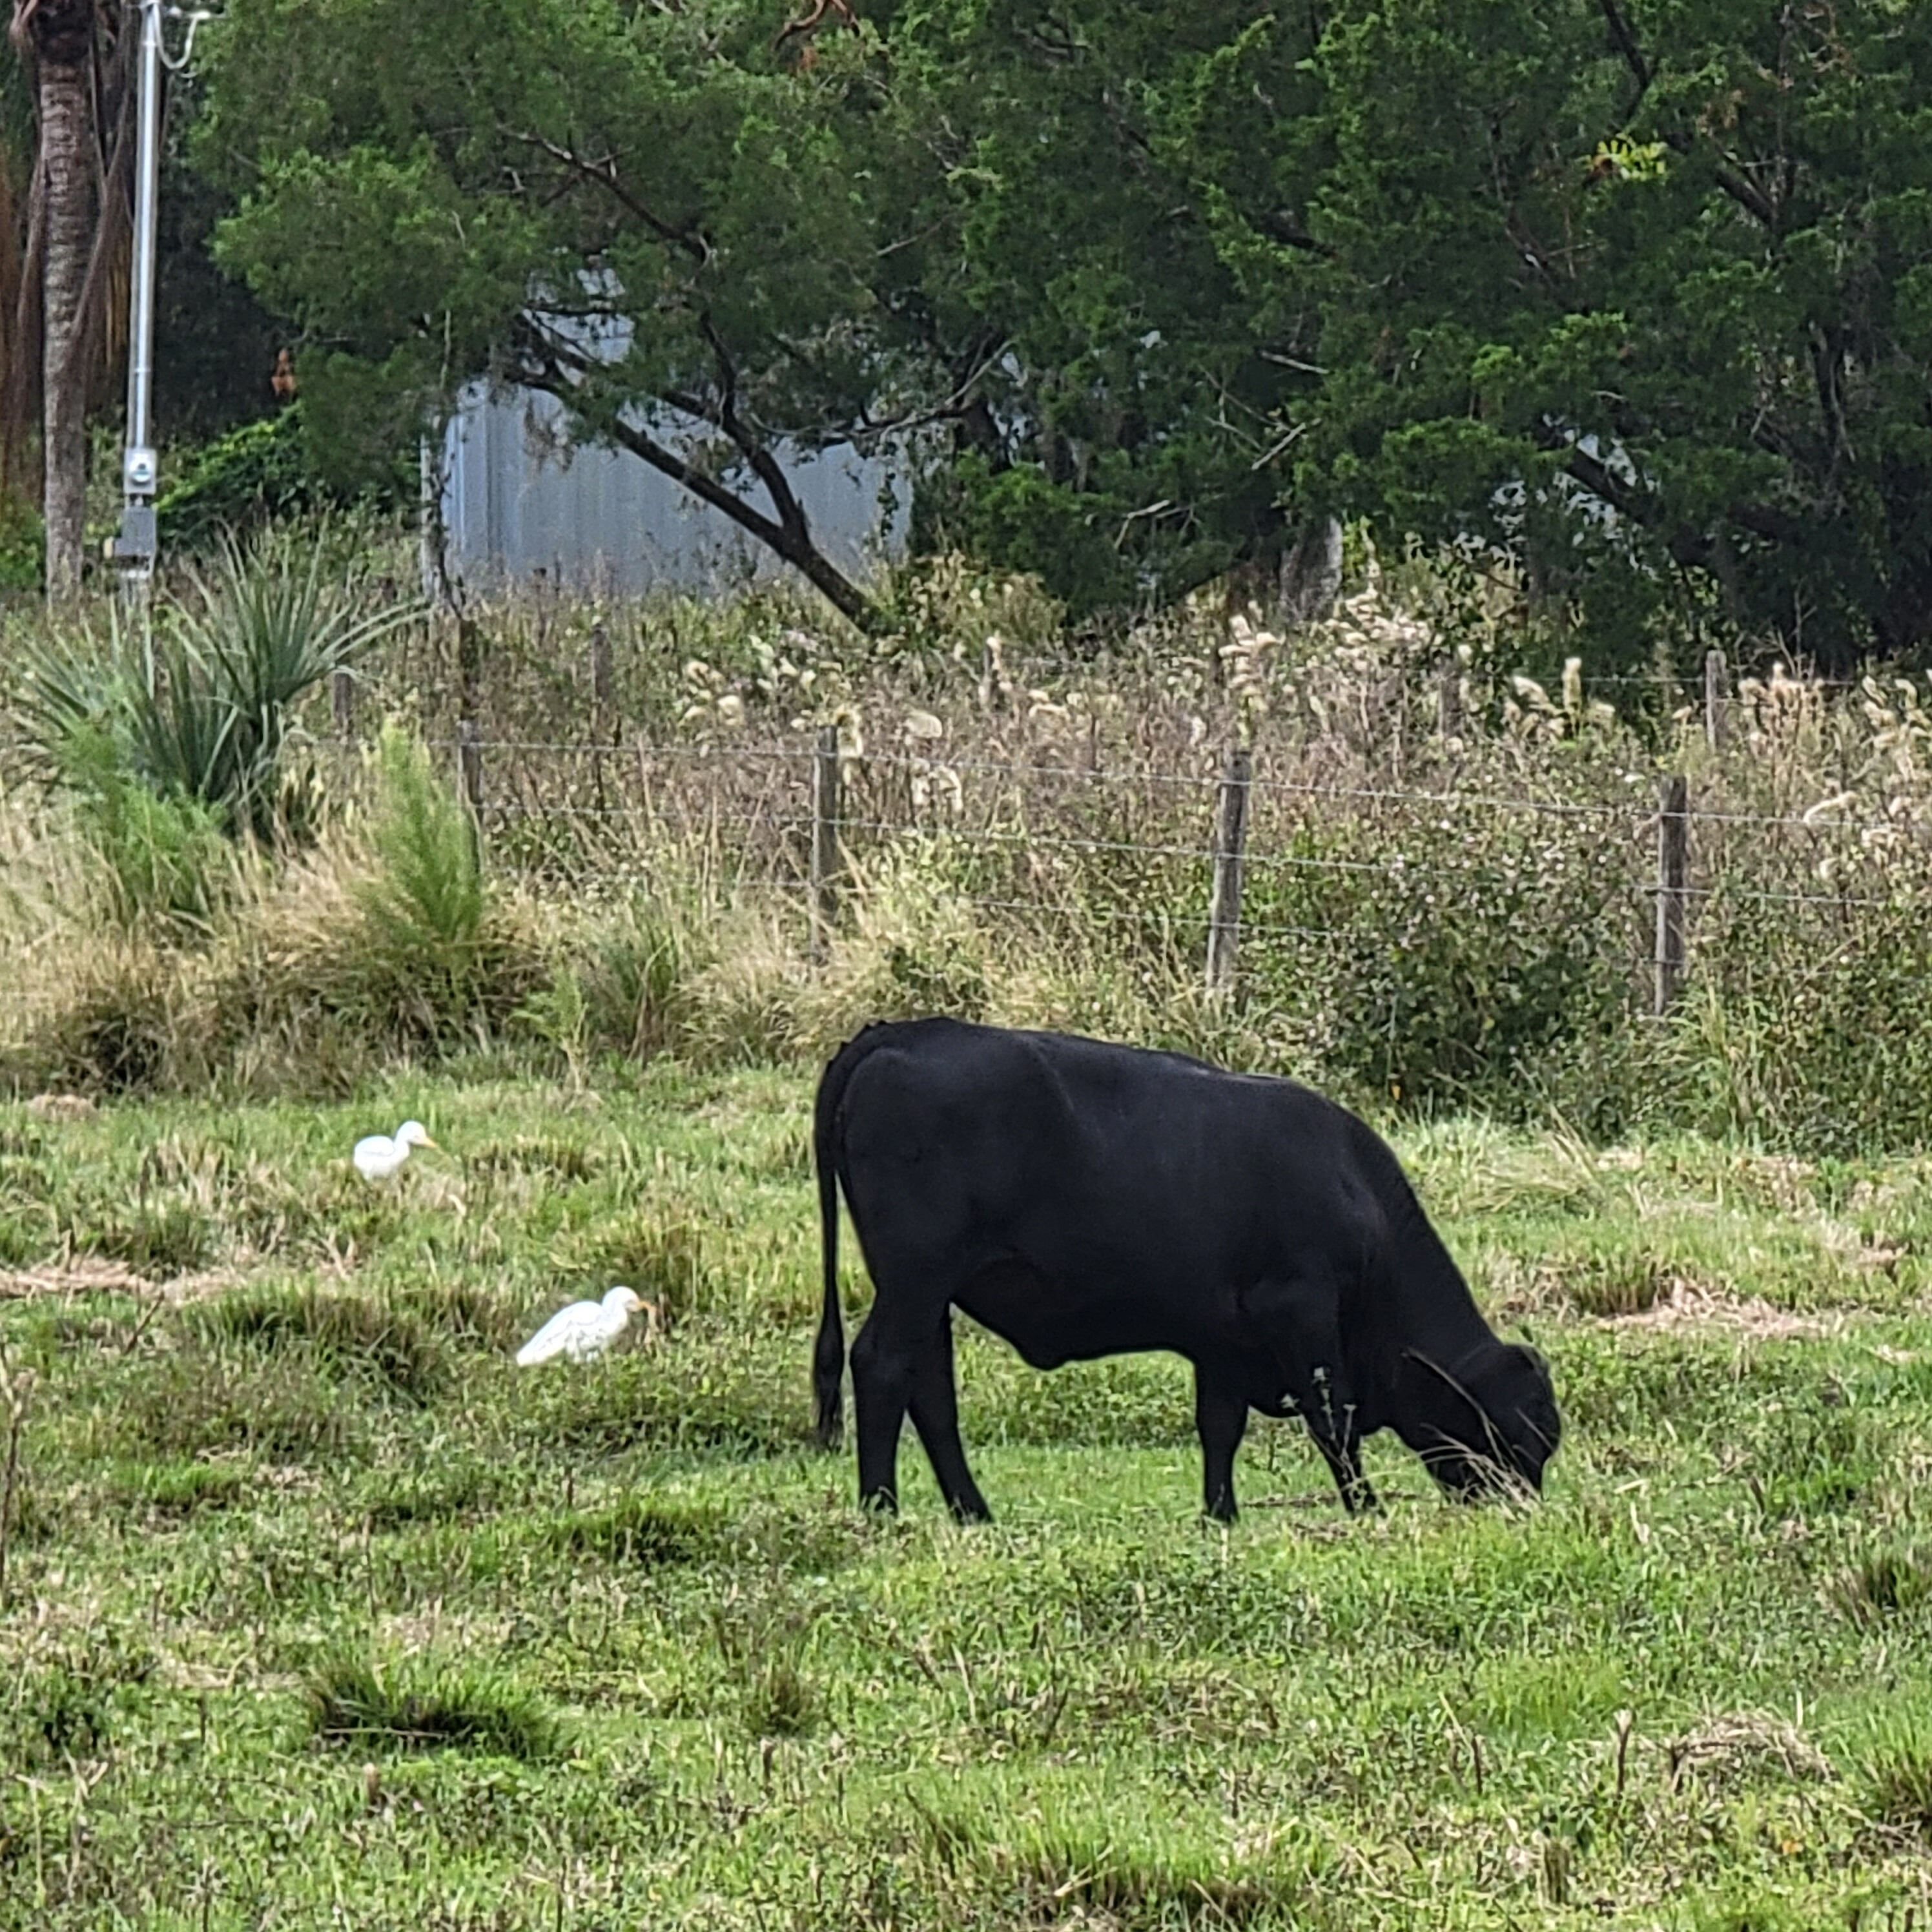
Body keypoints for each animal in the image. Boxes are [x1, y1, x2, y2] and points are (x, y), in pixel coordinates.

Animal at [811, 1018, 1559, 1521]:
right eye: (1521, 1439)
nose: (1522, 1508)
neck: (1354, 1189)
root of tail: (900, 1032)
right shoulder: (1301, 1308)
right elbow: (1333, 1417)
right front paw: (1365, 1508)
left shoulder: (1220, 1338)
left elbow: (1219, 1425)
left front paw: (1219, 1514)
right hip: (917, 1278)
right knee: (881, 1366)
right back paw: (881, 1507)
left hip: (929, 1292)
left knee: (930, 1388)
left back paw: (972, 1510)